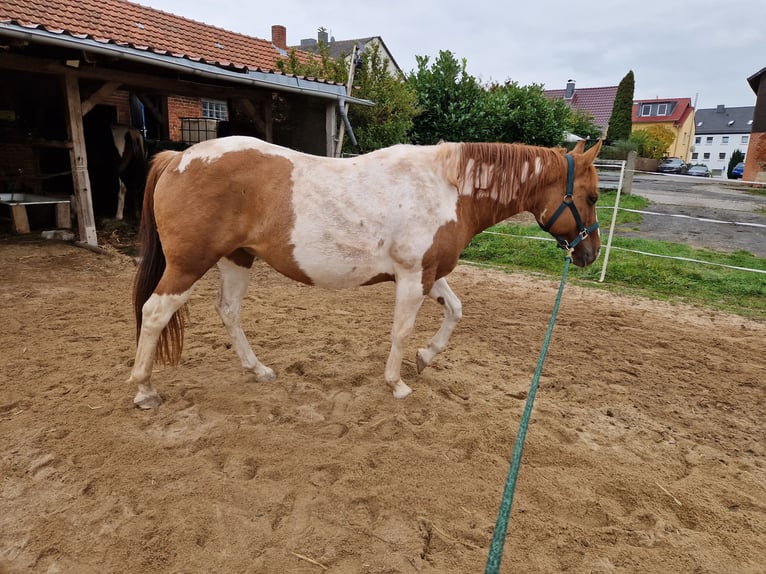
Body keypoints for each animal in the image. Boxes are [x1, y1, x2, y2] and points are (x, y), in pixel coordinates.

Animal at [129, 136, 602, 409]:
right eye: (594, 196)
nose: (591, 253)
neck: (446, 188)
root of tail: (180, 158)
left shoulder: (430, 273)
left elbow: (455, 310)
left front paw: (425, 357)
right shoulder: (412, 279)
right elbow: (400, 331)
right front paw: (397, 384)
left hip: (237, 259)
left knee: (228, 311)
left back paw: (257, 370)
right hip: (189, 265)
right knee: (155, 313)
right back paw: (144, 389)